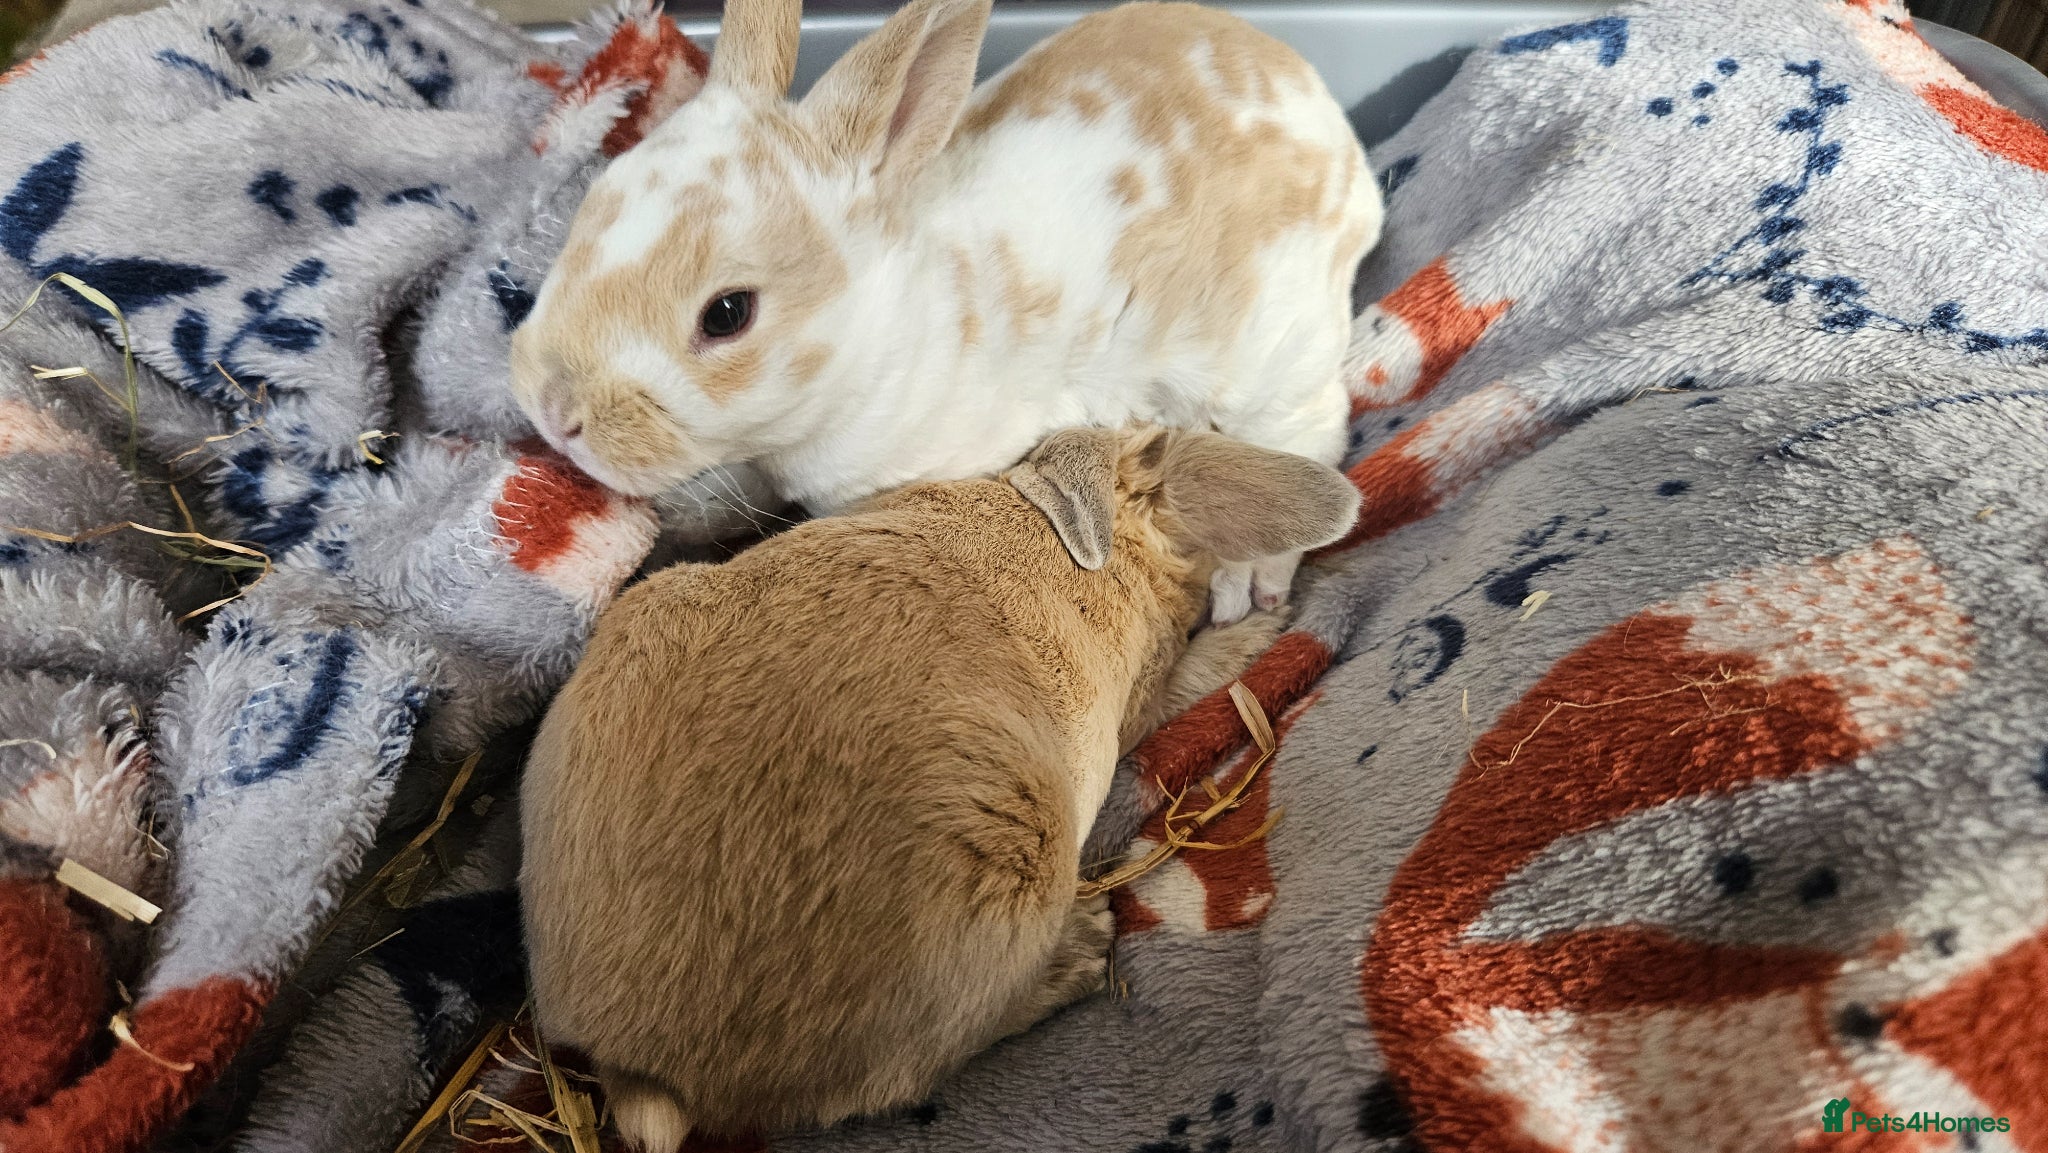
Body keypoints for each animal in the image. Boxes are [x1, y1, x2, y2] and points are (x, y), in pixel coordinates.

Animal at [507, 0, 1382, 623]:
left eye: (727, 313)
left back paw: (1252, 585)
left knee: (1316, 431)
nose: (553, 411)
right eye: (596, 198)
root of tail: (1340, 142)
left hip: (1273, 363)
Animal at [519, 424, 1359, 1151]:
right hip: (1013, 866)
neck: (1106, 538)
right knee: (901, 1073)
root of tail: (645, 1064)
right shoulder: (1146, 695)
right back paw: (1084, 947)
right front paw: (1255, 637)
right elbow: (1185, 682)